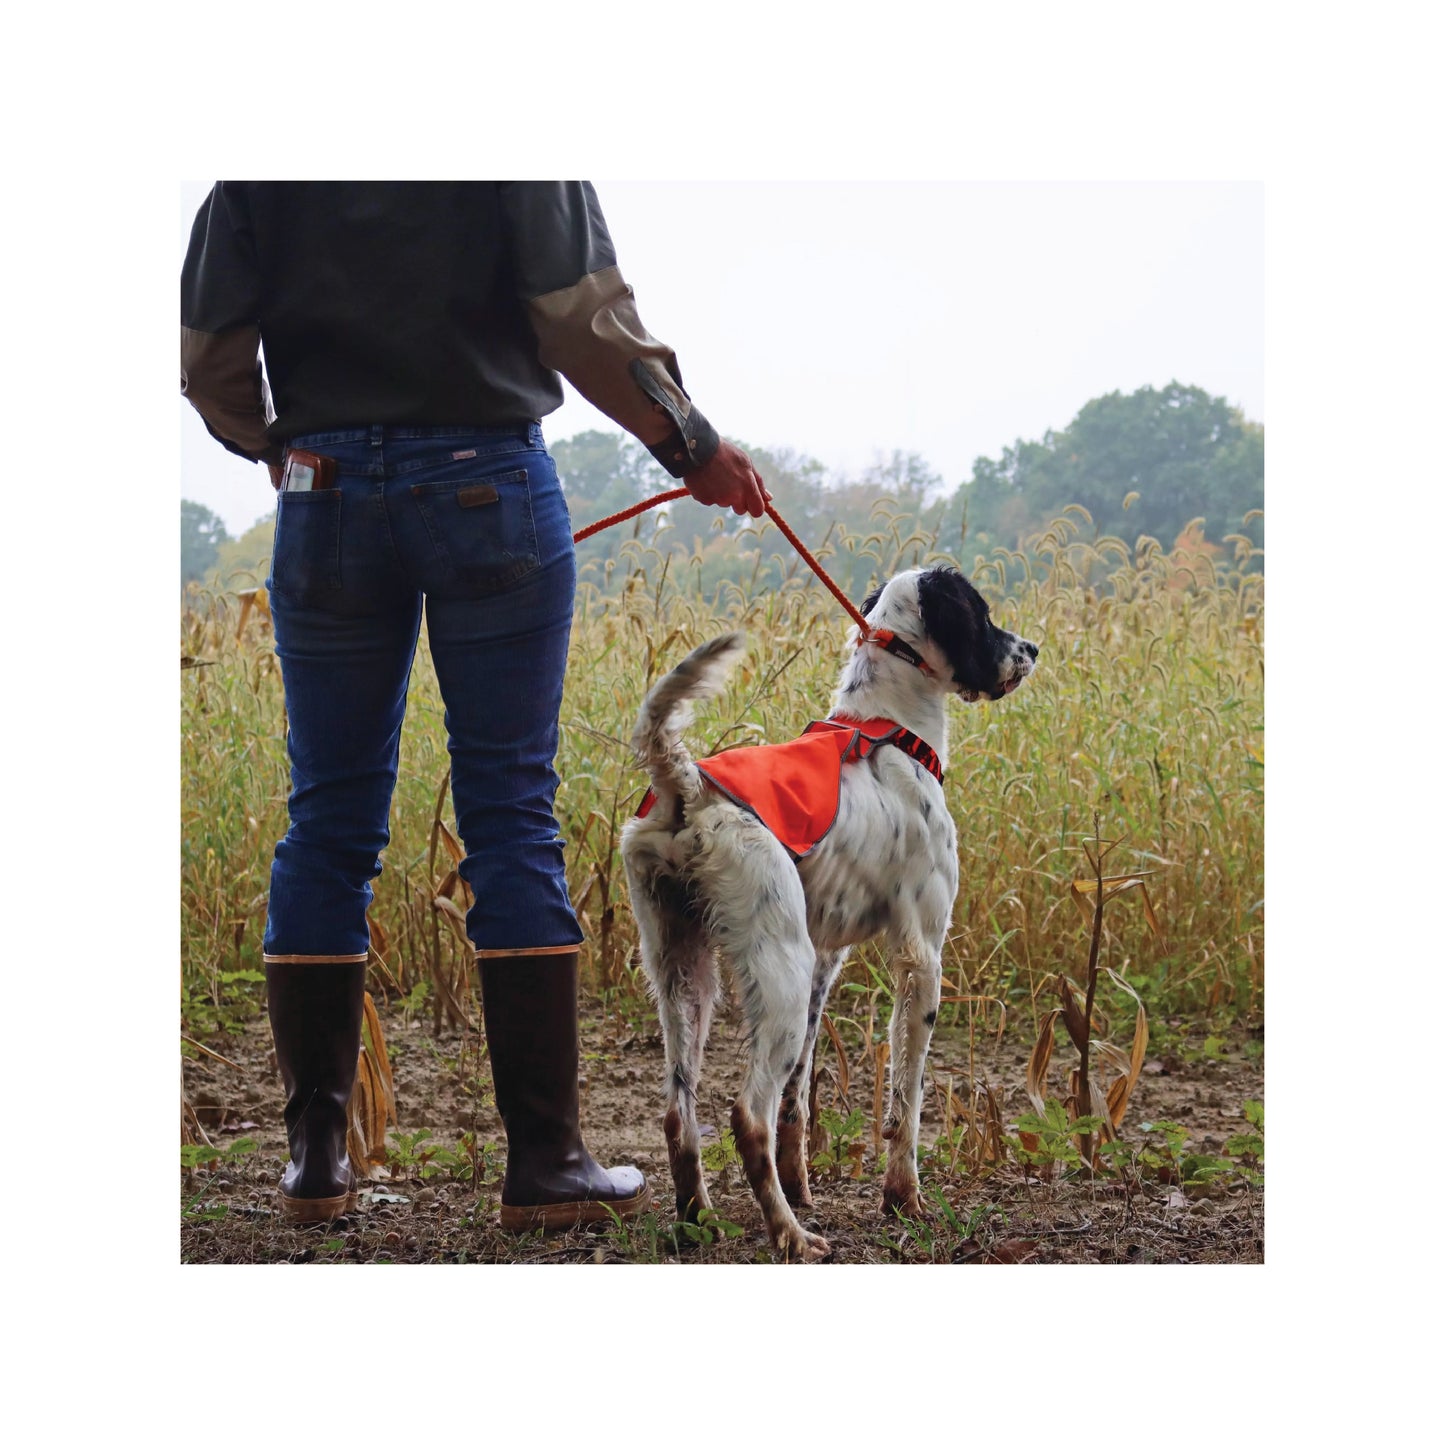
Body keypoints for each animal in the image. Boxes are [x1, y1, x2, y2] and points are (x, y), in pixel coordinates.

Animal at [621, 563, 1040, 1254]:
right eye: (981, 614)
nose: (1031, 649)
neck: (890, 729)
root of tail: (688, 789)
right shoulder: (921, 955)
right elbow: (907, 1101)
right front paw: (903, 1198)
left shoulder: (825, 958)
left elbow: (800, 1098)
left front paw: (803, 1186)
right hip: (777, 974)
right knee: (747, 1116)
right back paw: (790, 1237)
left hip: (686, 974)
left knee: (680, 1114)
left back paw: (700, 1221)